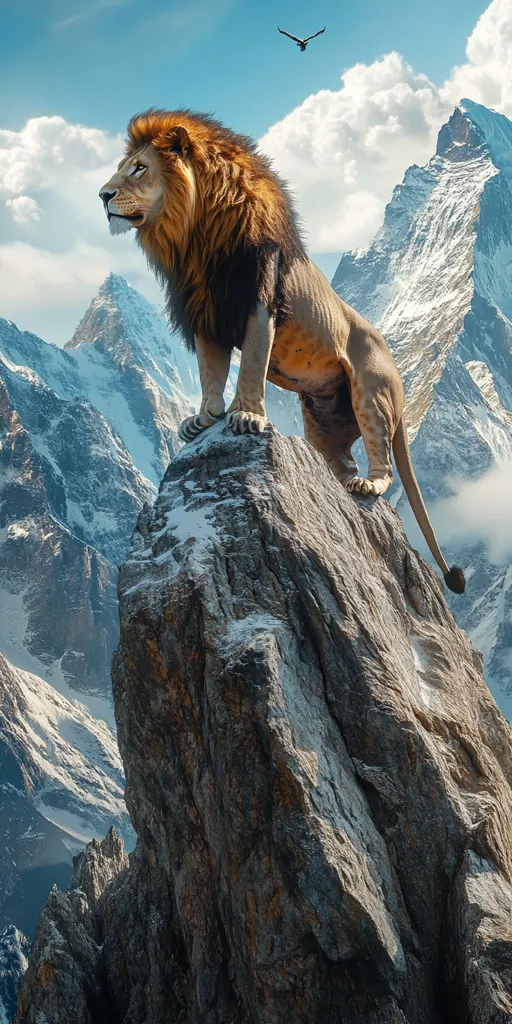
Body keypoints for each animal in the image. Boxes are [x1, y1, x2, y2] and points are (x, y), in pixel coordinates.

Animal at [99, 108, 465, 594]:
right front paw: (205, 418)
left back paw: (368, 487)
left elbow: (251, 365)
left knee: (383, 462)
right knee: (342, 463)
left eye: (139, 168)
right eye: (123, 167)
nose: (102, 195)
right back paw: (335, 485)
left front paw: (246, 416)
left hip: (370, 394)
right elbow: (210, 371)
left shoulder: (259, 300)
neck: (194, 235)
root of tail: (398, 374)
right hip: (321, 420)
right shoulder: (207, 313)